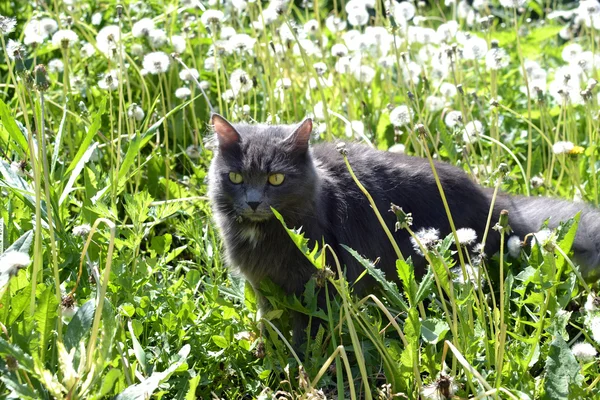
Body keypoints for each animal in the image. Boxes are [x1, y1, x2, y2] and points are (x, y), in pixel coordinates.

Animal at [209, 114, 600, 342]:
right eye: (236, 177)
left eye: (275, 179)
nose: (253, 202)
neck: (264, 234)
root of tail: (494, 200)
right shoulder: (264, 285)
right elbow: (271, 319)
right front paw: (270, 347)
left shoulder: (318, 283)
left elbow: (310, 330)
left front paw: (303, 360)